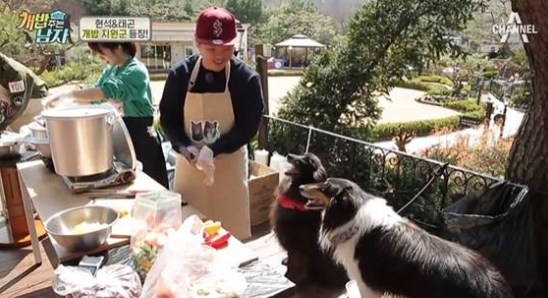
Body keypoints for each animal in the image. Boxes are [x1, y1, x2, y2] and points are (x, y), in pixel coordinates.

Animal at [268, 154, 346, 286]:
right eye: (302, 154)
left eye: (308, 160)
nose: (289, 155)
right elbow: (290, 258)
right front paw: (286, 263)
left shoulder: (297, 247)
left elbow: (294, 263)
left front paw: (290, 278)